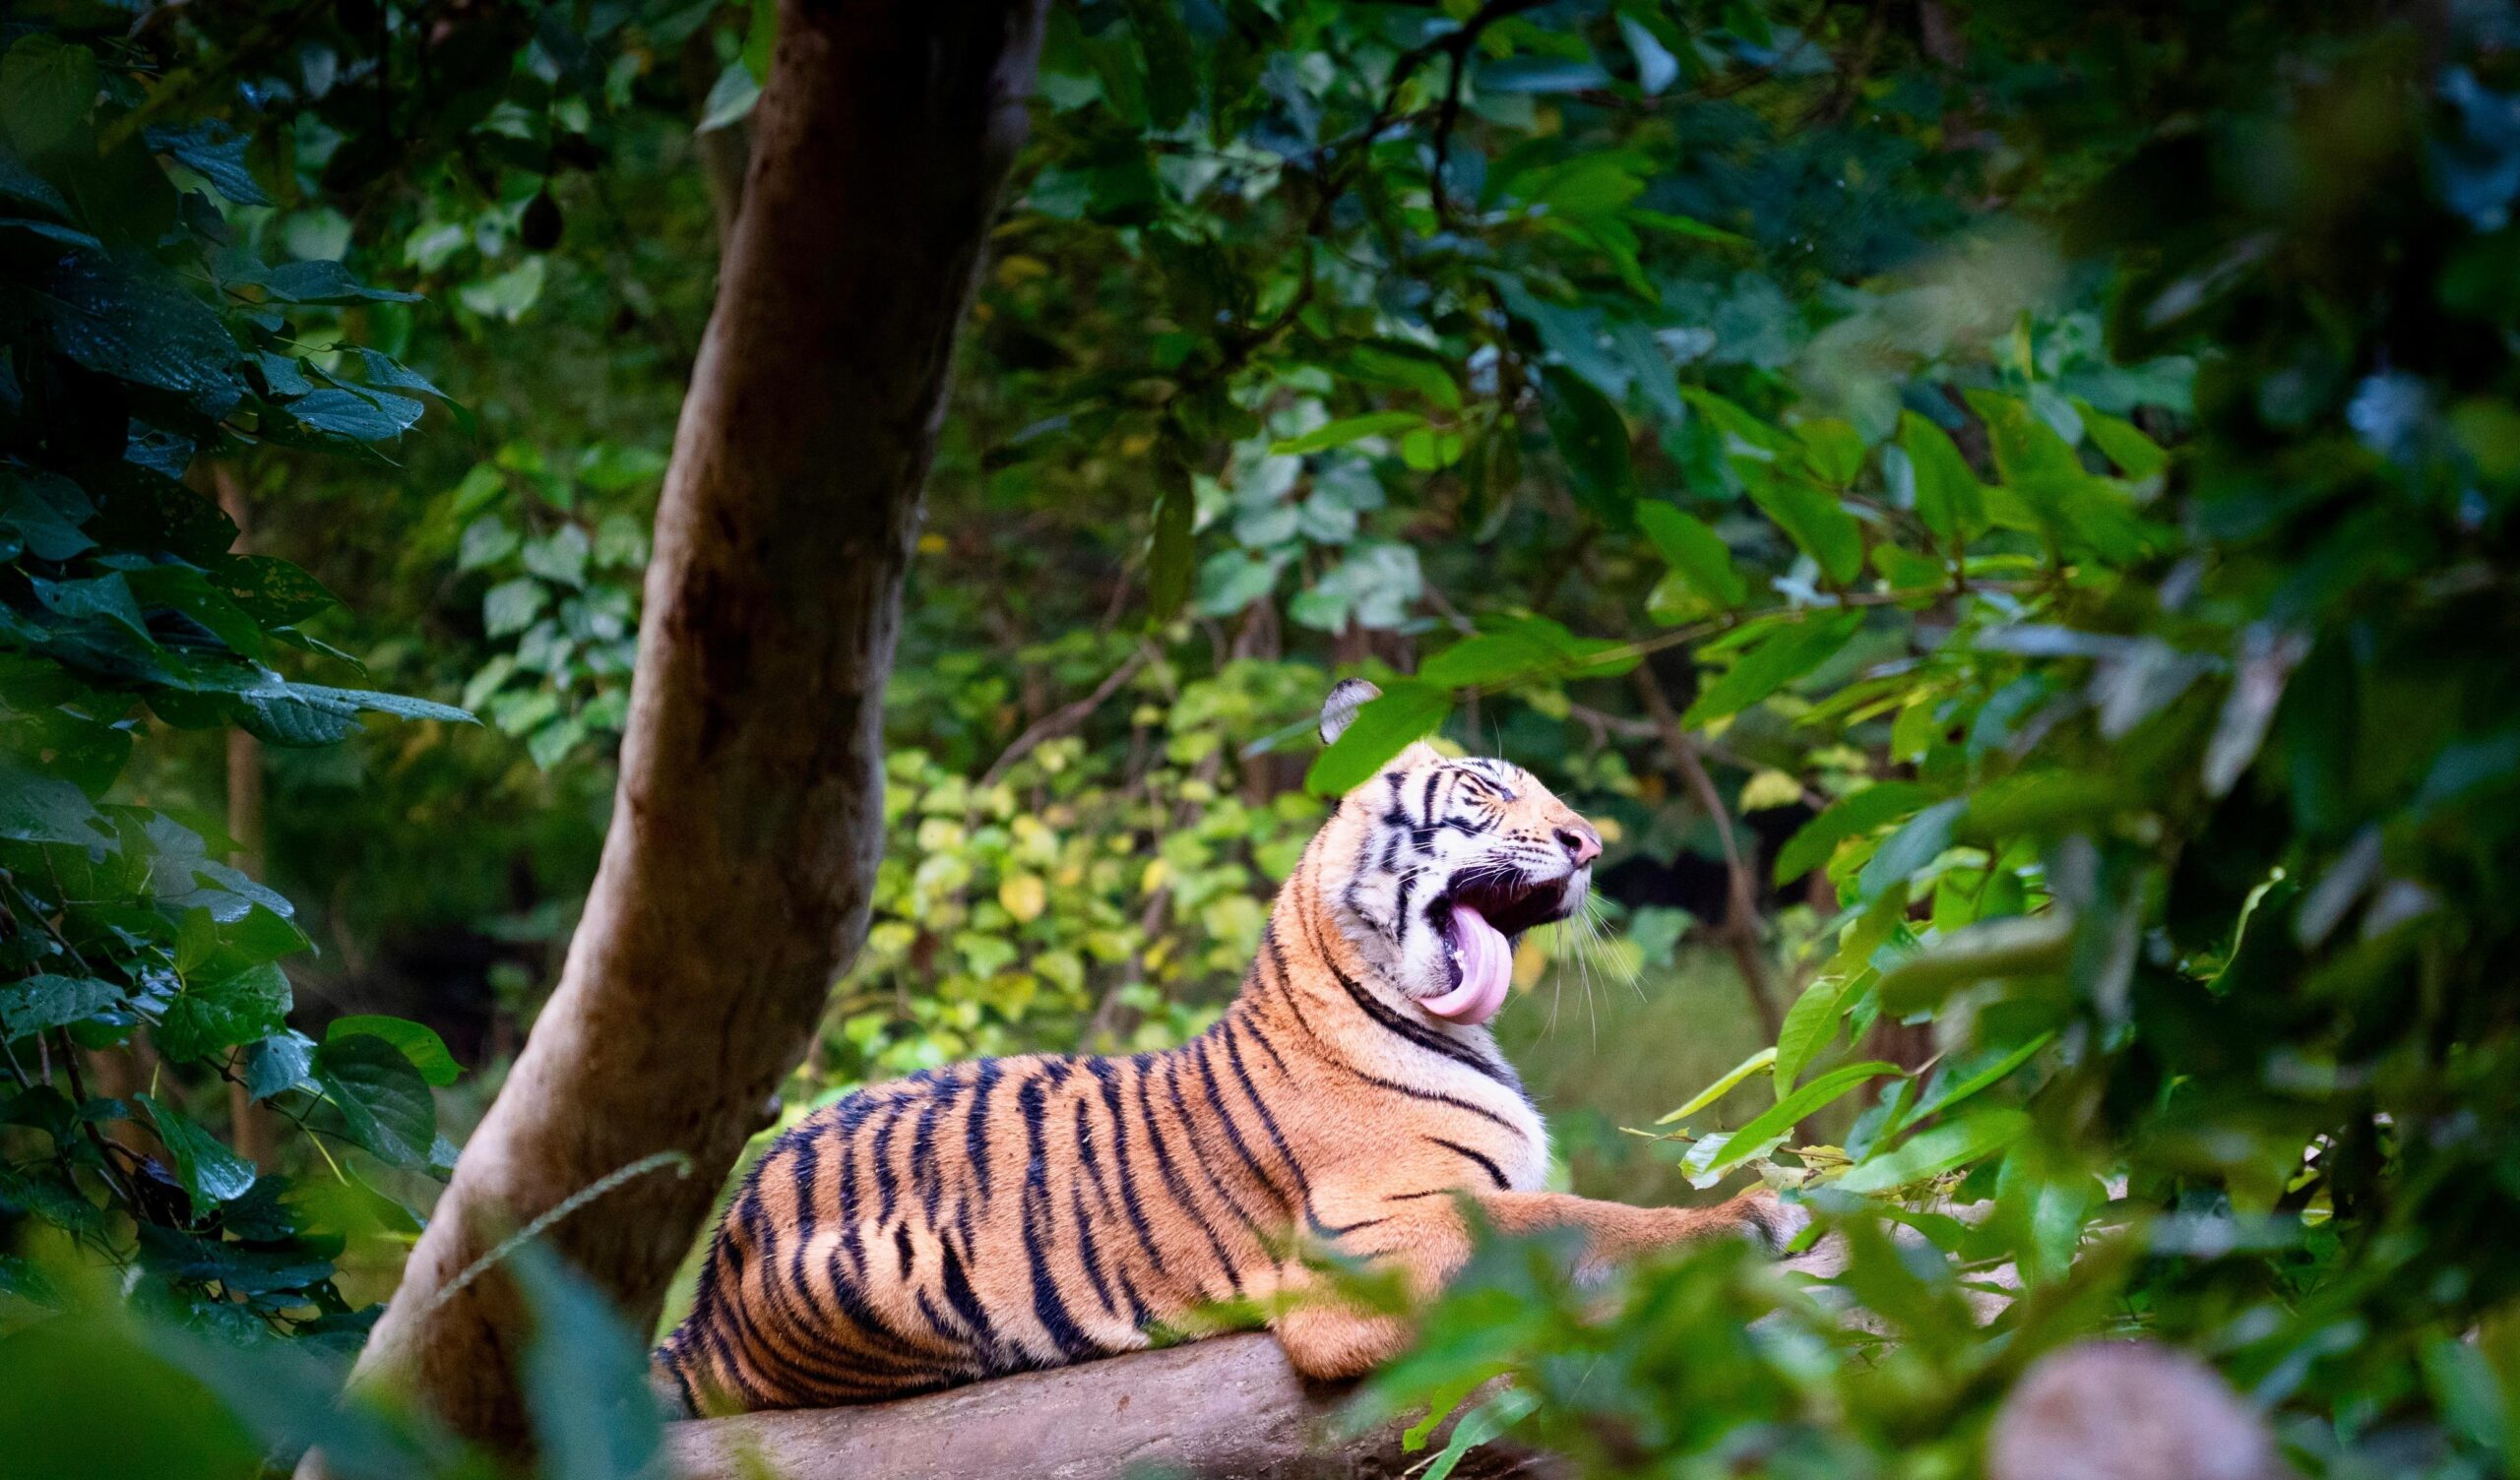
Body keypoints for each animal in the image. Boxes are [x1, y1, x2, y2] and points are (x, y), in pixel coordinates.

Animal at [652, 678, 1804, 1415]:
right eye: (1484, 792)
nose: (1589, 844)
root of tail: (707, 1292)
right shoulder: (1370, 1240)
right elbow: (1576, 1220)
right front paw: (1749, 1215)